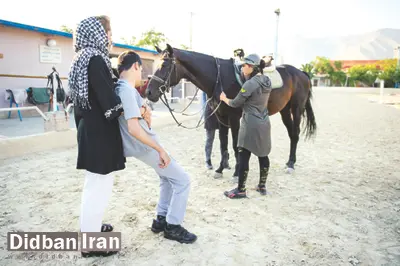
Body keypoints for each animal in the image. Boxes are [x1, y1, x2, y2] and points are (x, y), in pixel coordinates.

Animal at [145, 43, 318, 178]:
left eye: (164, 65)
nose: (149, 92)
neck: (220, 78)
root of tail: (301, 73)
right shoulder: (221, 118)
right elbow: (223, 145)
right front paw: (220, 169)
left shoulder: (234, 118)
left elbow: (235, 145)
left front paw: (236, 172)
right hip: (284, 111)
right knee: (291, 134)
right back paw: (289, 162)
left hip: (296, 109)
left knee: (295, 134)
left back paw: (291, 165)